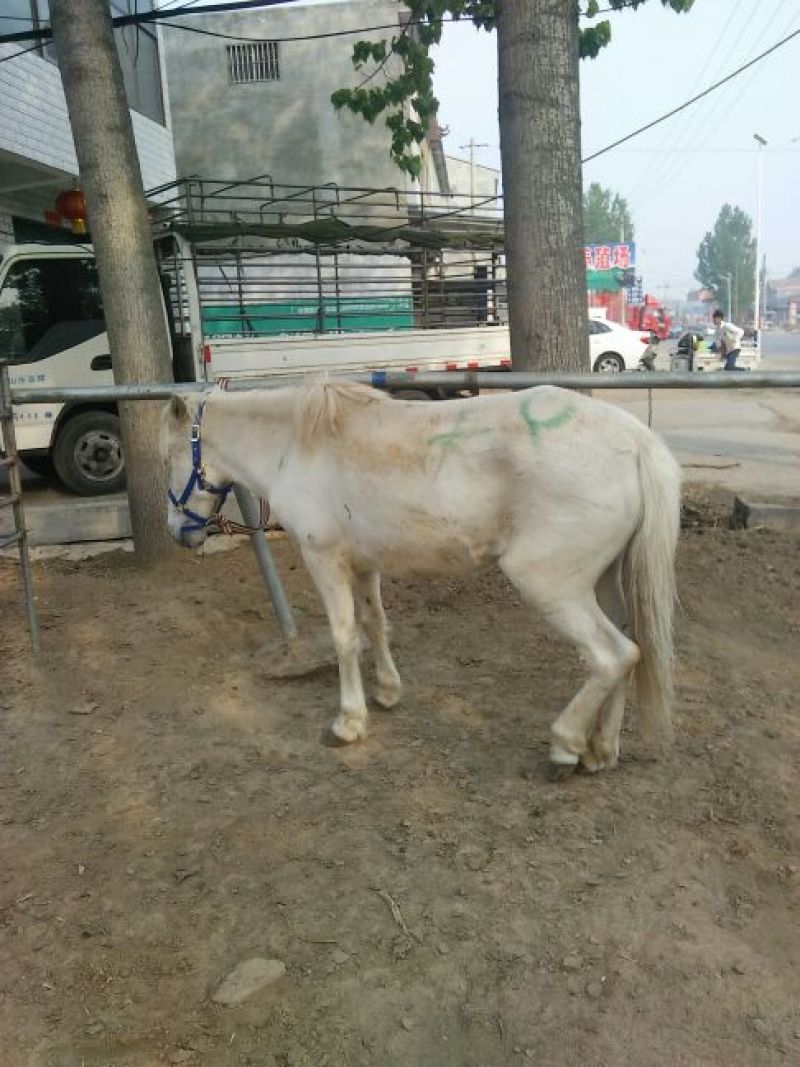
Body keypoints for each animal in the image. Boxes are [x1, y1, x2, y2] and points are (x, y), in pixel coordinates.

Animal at [161, 380, 681, 776]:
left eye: (168, 458)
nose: (179, 533)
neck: (297, 446)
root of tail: (637, 441)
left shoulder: (324, 559)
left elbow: (344, 636)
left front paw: (349, 722)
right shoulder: (363, 563)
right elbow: (375, 624)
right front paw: (388, 692)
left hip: (550, 585)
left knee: (613, 656)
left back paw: (565, 746)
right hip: (603, 582)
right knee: (630, 648)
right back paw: (600, 750)